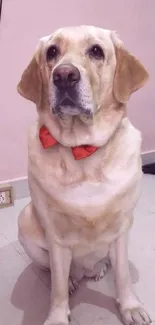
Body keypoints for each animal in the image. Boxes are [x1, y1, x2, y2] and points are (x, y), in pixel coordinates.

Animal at [17, 25, 150, 324]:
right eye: (52, 52)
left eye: (96, 51)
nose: (64, 76)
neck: (83, 151)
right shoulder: (55, 235)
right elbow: (56, 287)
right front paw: (57, 316)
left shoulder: (122, 228)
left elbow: (123, 276)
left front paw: (130, 307)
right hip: (26, 221)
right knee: (56, 272)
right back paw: (71, 280)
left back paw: (96, 269)